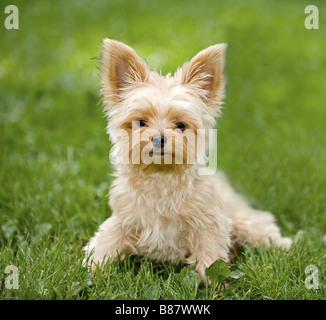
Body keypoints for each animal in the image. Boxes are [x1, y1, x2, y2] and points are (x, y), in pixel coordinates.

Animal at [83, 38, 292, 278]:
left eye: (180, 125)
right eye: (140, 122)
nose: (159, 139)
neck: (161, 177)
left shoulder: (208, 223)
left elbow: (210, 257)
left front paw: (214, 281)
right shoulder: (123, 219)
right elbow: (106, 241)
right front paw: (92, 267)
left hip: (242, 220)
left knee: (262, 226)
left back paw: (284, 246)